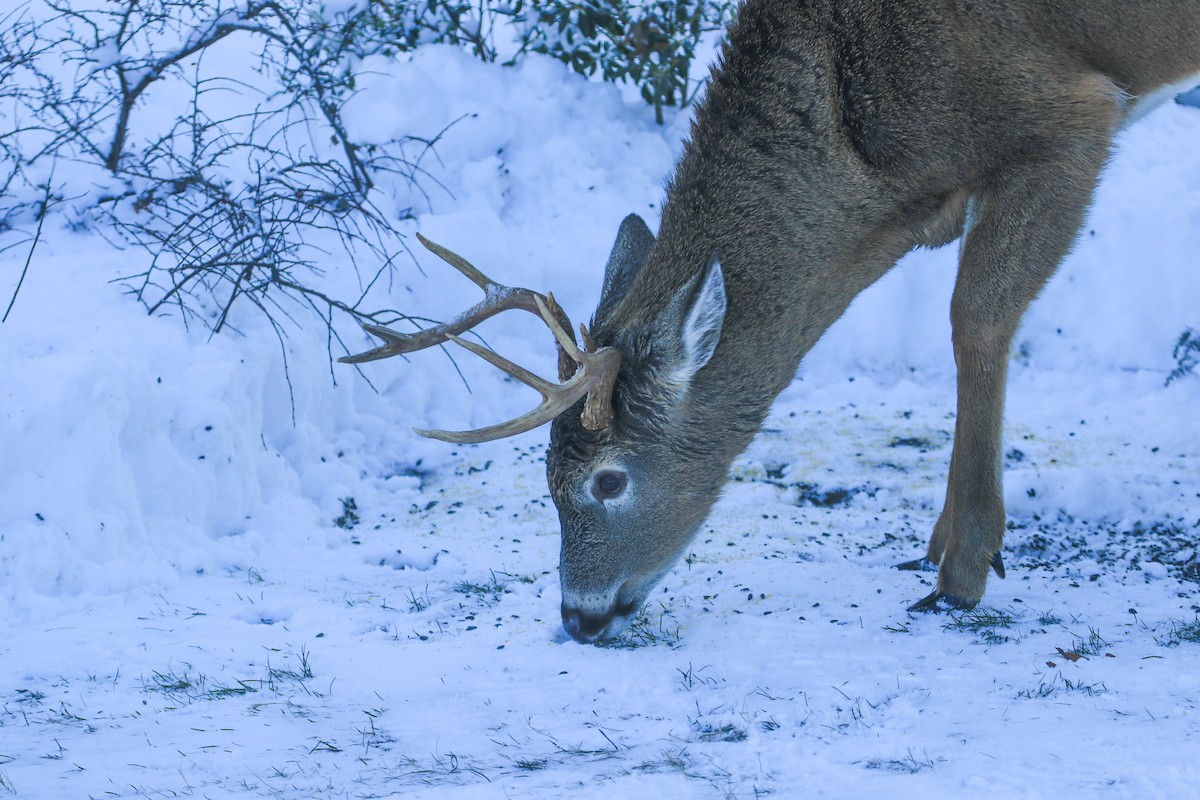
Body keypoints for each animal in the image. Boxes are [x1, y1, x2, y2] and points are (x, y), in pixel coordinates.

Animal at [343, 0, 1200, 644]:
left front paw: (962, 568)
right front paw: (938, 544)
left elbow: (976, 320)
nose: (577, 618)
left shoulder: (1070, 119)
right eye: (544, 480)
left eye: (608, 480)